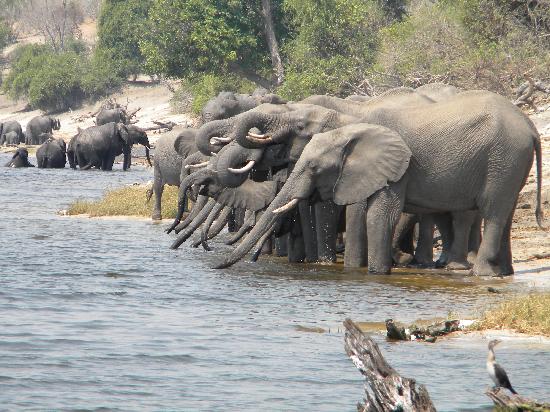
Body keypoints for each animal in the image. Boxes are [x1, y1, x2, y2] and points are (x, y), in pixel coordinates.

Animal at [213, 91, 544, 276]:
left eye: (300, 126)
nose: (217, 265)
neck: (349, 117)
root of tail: (530, 125)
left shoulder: (395, 167)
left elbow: (371, 213)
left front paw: (369, 271)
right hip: (509, 163)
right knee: (505, 212)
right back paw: (501, 272)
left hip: (503, 157)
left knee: (493, 211)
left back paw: (479, 273)